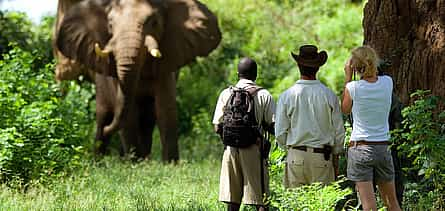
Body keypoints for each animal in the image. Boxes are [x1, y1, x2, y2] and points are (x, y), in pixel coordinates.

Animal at [54, 0, 221, 161]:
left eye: (154, 23)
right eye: (110, 25)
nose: (108, 130)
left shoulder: (166, 67)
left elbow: (165, 109)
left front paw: (170, 164)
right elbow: (129, 114)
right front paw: (135, 163)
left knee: (147, 120)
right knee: (103, 117)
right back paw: (101, 161)